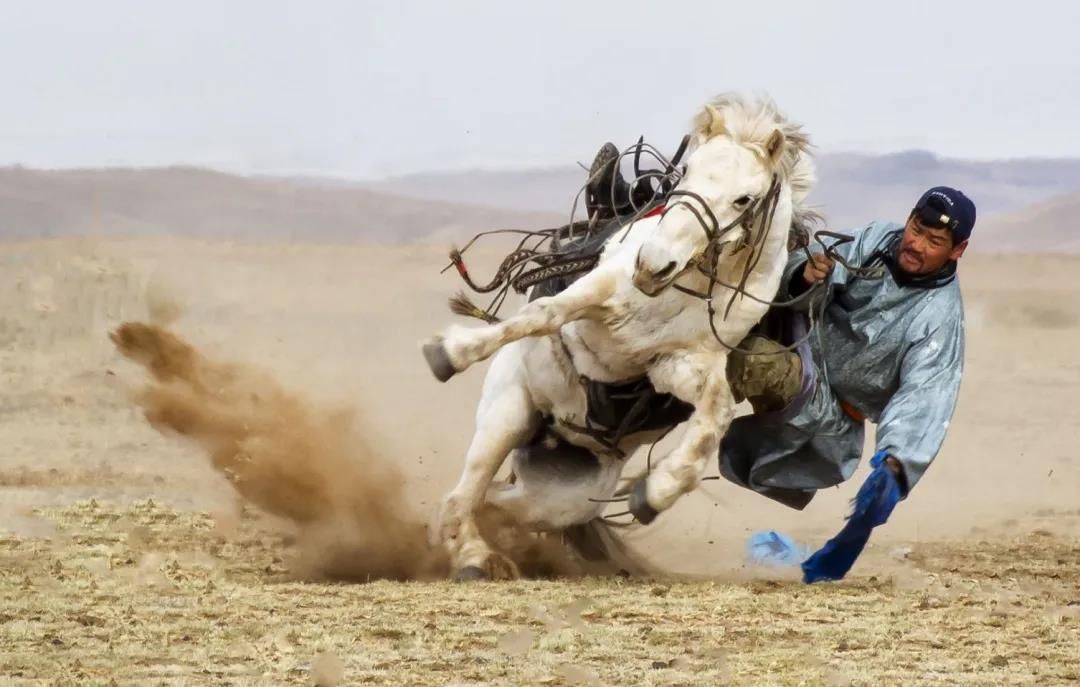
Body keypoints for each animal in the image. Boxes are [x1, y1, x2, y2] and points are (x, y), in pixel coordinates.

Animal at [421, 93, 818, 580]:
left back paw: (477, 555)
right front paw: (449, 352)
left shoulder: (679, 366)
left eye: (745, 199)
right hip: (510, 411)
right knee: (464, 494)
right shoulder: (601, 288)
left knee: (484, 502)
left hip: (558, 499)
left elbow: (715, 414)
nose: (653, 265)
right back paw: (474, 556)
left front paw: (655, 492)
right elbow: (543, 314)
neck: (684, 288)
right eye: (687, 172)